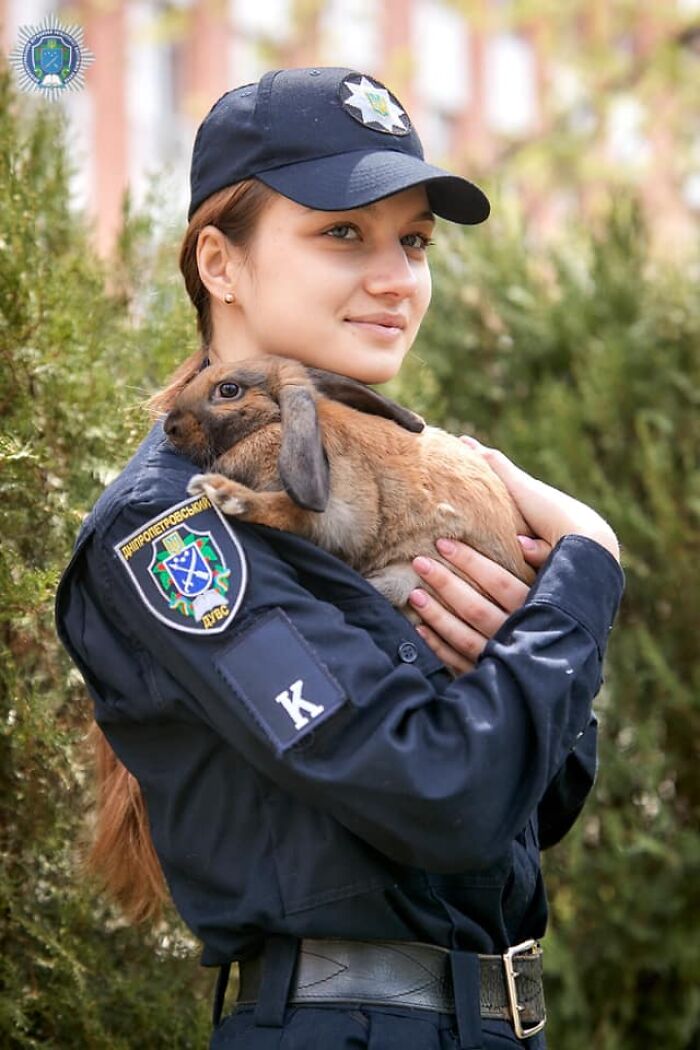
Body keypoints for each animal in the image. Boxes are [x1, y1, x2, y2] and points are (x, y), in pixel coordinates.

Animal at [163, 355, 535, 622]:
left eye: (228, 390)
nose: (170, 427)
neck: (274, 424)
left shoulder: (341, 515)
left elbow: (285, 511)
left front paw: (223, 493)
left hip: (414, 574)